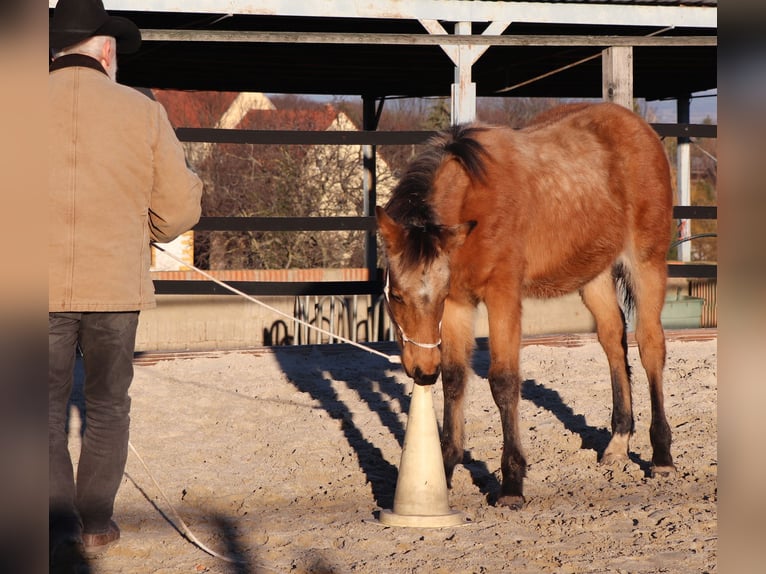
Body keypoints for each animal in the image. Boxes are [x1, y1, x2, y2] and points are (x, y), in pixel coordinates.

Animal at [378, 102, 680, 508]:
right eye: (396, 295)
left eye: (432, 297)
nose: (422, 370)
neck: (473, 198)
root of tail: (640, 128)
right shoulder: (459, 304)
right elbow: (455, 379)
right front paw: (444, 469)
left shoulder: (502, 297)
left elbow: (504, 381)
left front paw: (511, 483)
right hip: (594, 275)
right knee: (613, 339)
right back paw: (618, 443)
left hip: (647, 263)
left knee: (650, 346)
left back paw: (661, 455)